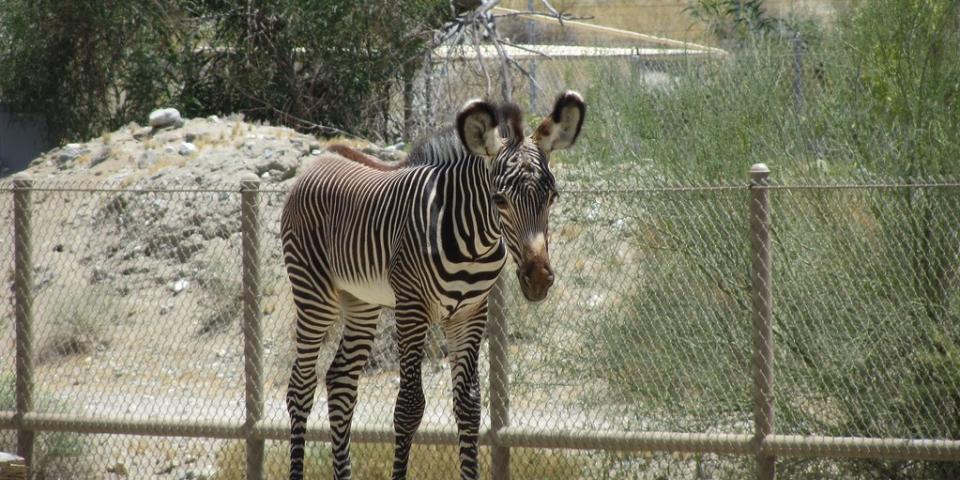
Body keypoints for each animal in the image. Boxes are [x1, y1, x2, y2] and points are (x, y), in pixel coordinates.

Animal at [282, 91, 584, 480]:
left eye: (552, 196)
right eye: (499, 199)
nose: (538, 279)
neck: (473, 241)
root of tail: (321, 158)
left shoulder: (471, 312)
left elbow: (469, 406)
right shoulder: (412, 307)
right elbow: (409, 407)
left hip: (362, 301)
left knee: (341, 382)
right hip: (314, 294)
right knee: (301, 386)